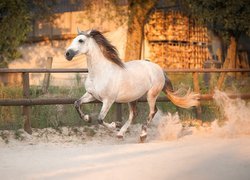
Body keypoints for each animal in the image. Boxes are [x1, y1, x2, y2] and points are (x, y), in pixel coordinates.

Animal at [66, 28, 199, 141]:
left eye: (81, 40)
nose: (67, 54)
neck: (99, 73)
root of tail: (159, 68)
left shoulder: (108, 100)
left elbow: (100, 119)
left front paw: (114, 125)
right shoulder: (92, 95)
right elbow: (77, 103)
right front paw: (87, 118)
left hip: (151, 95)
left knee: (152, 111)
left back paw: (142, 135)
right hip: (132, 97)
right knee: (134, 114)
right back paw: (121, 134)